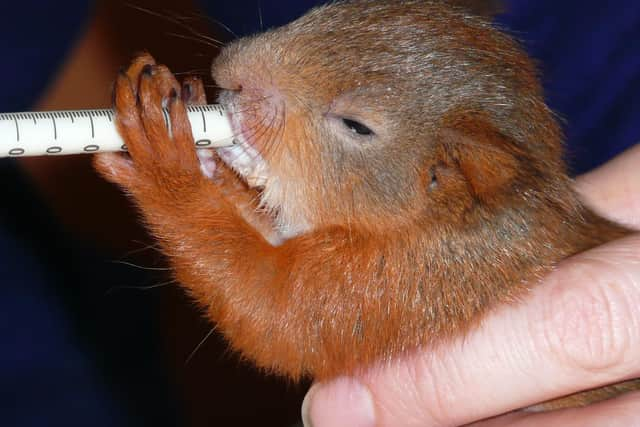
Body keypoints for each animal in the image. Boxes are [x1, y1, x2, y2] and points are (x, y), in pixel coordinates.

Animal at [96, 0, 640, 412]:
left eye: (357, 126)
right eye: (326, 13)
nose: (228, 72)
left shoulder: (407, 286)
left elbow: (274, 312)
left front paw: (166, 163)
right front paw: (200, 151)